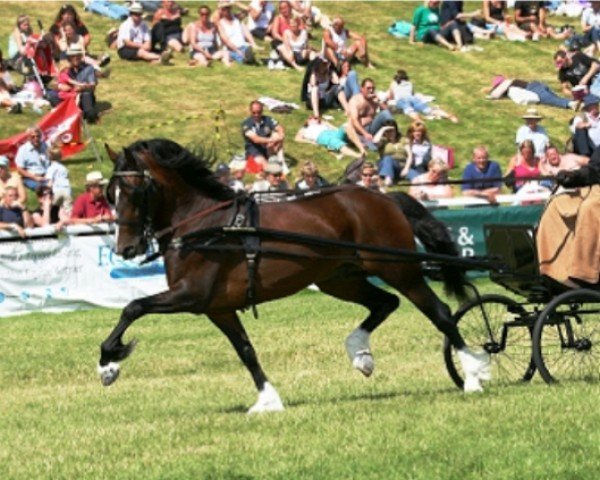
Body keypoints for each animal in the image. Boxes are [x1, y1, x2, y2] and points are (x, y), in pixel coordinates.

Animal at [98, 139, 490, 412]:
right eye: (110, 194)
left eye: (134, 190)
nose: (126, 249)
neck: (206, 225)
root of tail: (382, 198)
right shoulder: (216, 307)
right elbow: (246, 350)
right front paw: (268, 400)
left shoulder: (191, 295)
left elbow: (133, 307)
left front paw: (109, 362)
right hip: (341, 278)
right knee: (385, 303)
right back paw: (360, 353)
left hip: (398, 269)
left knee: (440, 313)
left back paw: (474, 374)